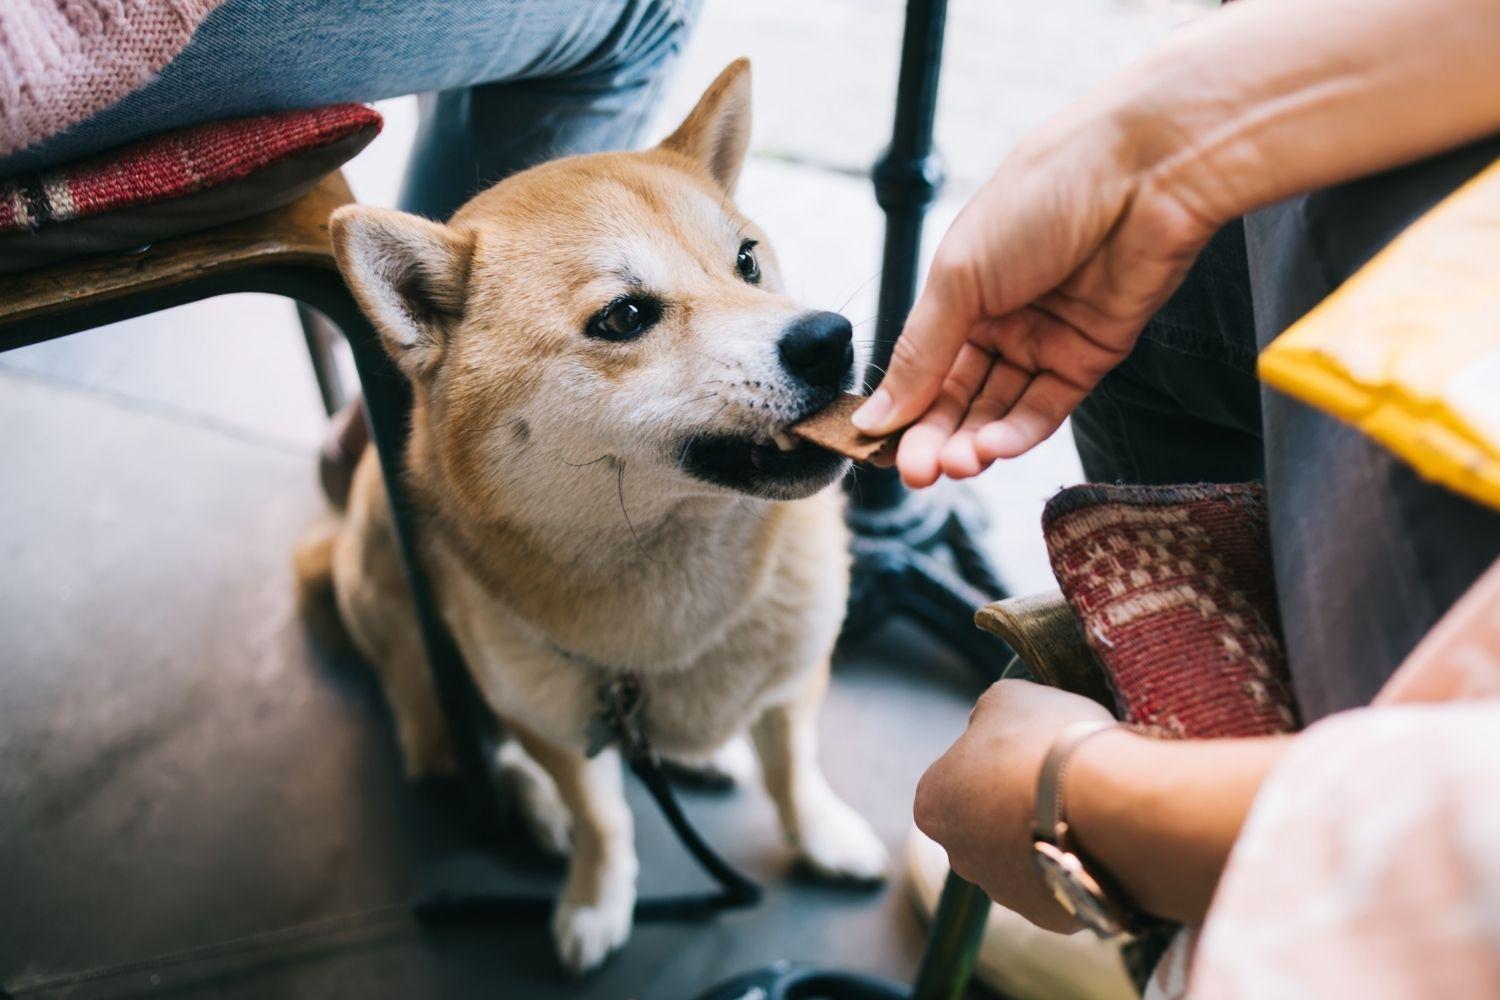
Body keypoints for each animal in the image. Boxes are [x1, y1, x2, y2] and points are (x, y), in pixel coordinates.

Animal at [297, 60, 882, 971]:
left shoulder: (798, 673)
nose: (829, 338)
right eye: (625, 316)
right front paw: (596, 901)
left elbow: (794, 767)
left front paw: (822, 837)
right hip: (413, 638)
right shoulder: (559, 716)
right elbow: (602, 817)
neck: (667, 628)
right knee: (452, 742)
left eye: (746, 261)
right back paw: (533, 803)